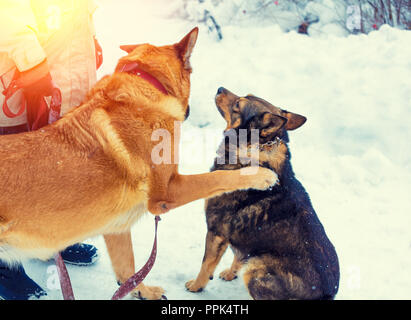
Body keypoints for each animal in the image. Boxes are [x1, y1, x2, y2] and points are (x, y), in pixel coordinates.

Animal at [0, 28, 280, 298]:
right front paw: (261, 175)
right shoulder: (168, 192)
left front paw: (142, 292)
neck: (148, 86)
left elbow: (128, 270)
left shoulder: (116, 227)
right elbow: (219, 177)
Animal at [187, 87, 342, 300]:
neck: (256, 150)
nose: (219, 88)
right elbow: (238, 257)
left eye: (237, 105)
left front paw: (196, 286)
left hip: (256, 268)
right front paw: (230, 273)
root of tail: (325, 295)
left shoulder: (216, 232)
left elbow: (206, 265)